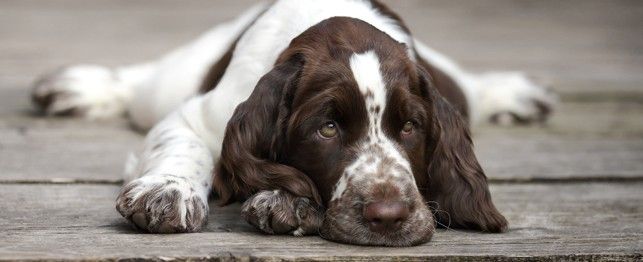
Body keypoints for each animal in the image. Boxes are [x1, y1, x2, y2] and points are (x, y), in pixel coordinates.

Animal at [30, 0, 556, 247]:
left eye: (410, 127)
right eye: (327, 129)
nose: (388, 217)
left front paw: (287, 203)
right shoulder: (194, 115)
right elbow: (186, 148)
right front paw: (168, 192)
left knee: (469, 86)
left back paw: (513, 92)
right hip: (175, 80)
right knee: (145, 83)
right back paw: (77, 87)